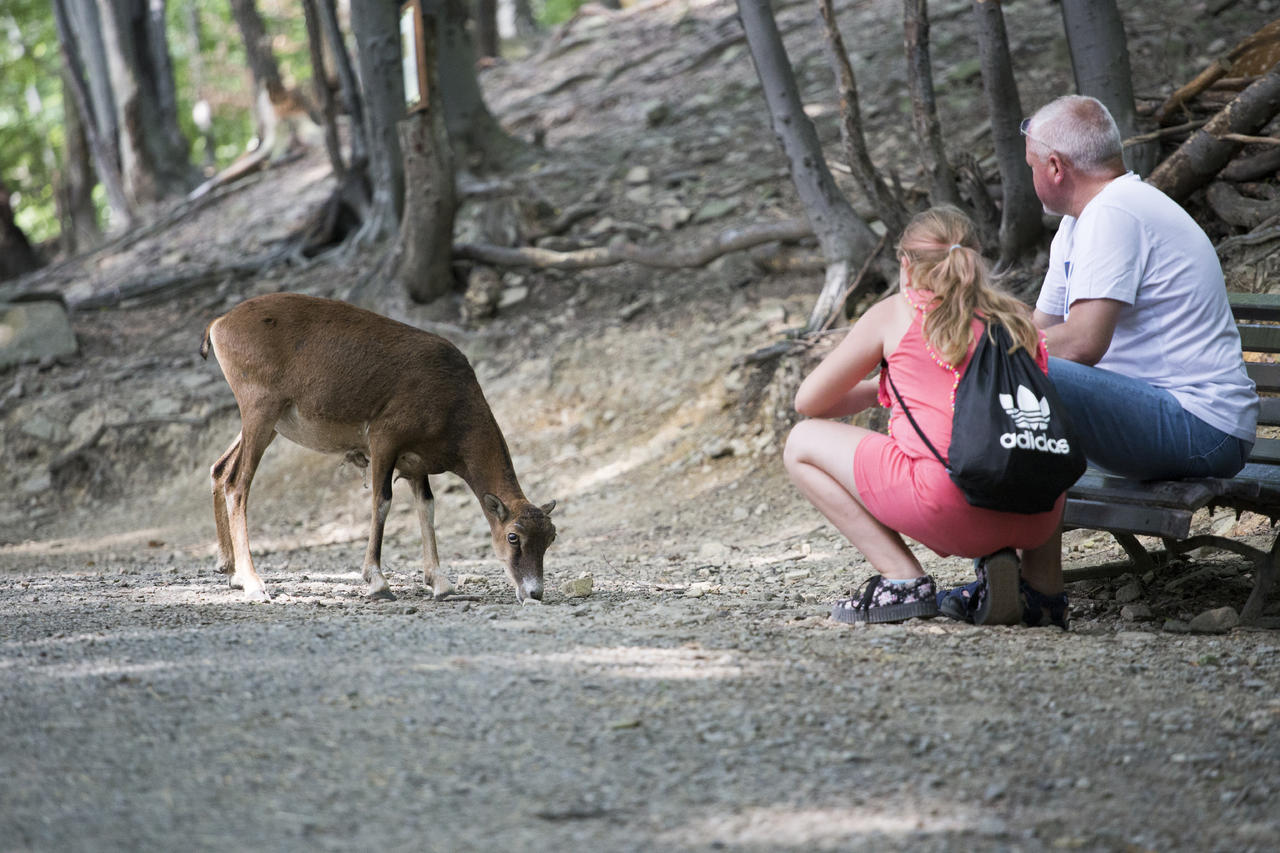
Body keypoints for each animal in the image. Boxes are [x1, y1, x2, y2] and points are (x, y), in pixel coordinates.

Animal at [198, 292, 555, 604]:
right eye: (513, 537)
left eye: (550, 537)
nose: (534, 592)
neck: (451, 400)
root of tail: (219, 324)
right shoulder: (384, 439)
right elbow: (382, 502)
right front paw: (378, 583)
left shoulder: (416, 464)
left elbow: (426, 507)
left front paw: (441, 585)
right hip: (260, 410)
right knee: (237, 483)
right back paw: (254, 584)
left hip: (268, 423)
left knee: (220, 468)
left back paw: (230, 571)